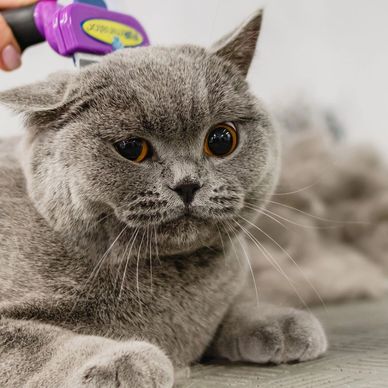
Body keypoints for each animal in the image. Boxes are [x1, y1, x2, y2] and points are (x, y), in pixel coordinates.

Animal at [0, 11, 328, 388]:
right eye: (131, 148)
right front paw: (124, 361)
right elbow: (42, 343)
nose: (186, 184)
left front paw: (278, 322)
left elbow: (230, 307)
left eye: (221, 139)